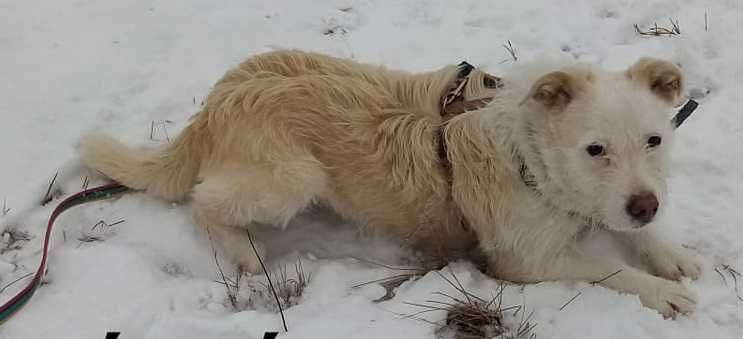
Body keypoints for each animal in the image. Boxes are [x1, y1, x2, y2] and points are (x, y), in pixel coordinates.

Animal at [78, 50, 700, 318]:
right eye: (595, 150)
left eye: (655, 140)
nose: (644, 206)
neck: (532, 156)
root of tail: (218, 100)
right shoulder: (526, 260)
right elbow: (608, 268)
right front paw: (659, 290)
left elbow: (634, 233)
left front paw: (671, 253)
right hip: (293, 177)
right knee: (204, 201)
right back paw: (243, 255)